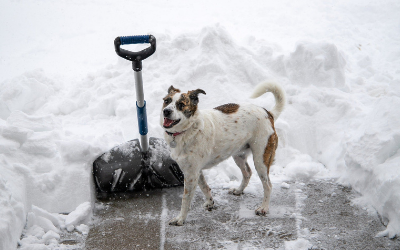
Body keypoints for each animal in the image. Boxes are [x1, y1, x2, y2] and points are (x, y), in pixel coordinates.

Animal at [159, 81, 284, 226]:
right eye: (166, 101)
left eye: (181, 104)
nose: (166, 111)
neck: (188, 130)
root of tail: (268, 113)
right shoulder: (195, 171)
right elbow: (204, 187)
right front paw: (210, 202)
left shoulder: (191, 174)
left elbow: (186, 199)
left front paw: (180, 218)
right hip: (239, 155)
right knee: (247, 173)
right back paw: (239, 190)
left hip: (261, 159)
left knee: (268, 185)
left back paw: (264, 207)